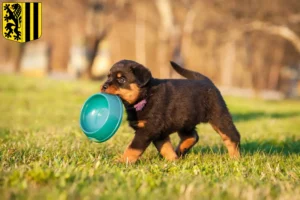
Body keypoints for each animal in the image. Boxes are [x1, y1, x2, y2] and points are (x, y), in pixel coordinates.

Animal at [102, 59, 240, 162]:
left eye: (121, 79)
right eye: (108, 77)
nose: (104, 86)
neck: (146, 96)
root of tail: (206, 80)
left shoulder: (147, 130)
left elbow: (133, 148)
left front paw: (121, 161)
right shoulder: (159, 132)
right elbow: (166, 148)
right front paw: (173, 161)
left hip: (219, 116)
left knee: (232, 137)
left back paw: (235, 158)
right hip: (185, 120)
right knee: (192, 136)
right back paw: (179, 151)